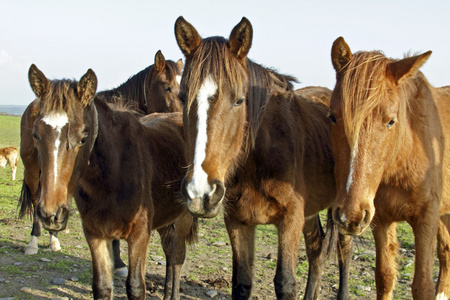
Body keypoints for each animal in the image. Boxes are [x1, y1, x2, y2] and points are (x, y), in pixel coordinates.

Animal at [26, 63, 195, 300]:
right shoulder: (95, 234)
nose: (51, 213)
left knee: (177, 256)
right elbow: (102, 286)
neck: (113, 175)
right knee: (170, 254)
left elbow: (136, 286)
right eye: (35, 135)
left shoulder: (139, 235)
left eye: (83, 138)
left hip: (182, 217)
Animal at [174, 17, 354, 300]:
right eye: (182, 98)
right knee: (316, 249)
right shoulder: (238, 221)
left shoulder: (290, 219)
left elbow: (285, 282)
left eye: (239, 100)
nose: (200, 193)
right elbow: (242, 282)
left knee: (344, 249)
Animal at [326, 36, 450, 298]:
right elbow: (385, 277)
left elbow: (422, 285)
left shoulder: (426, 219)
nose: (349, 215)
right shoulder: (381, 220)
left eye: (391, 121)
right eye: (332, 116)